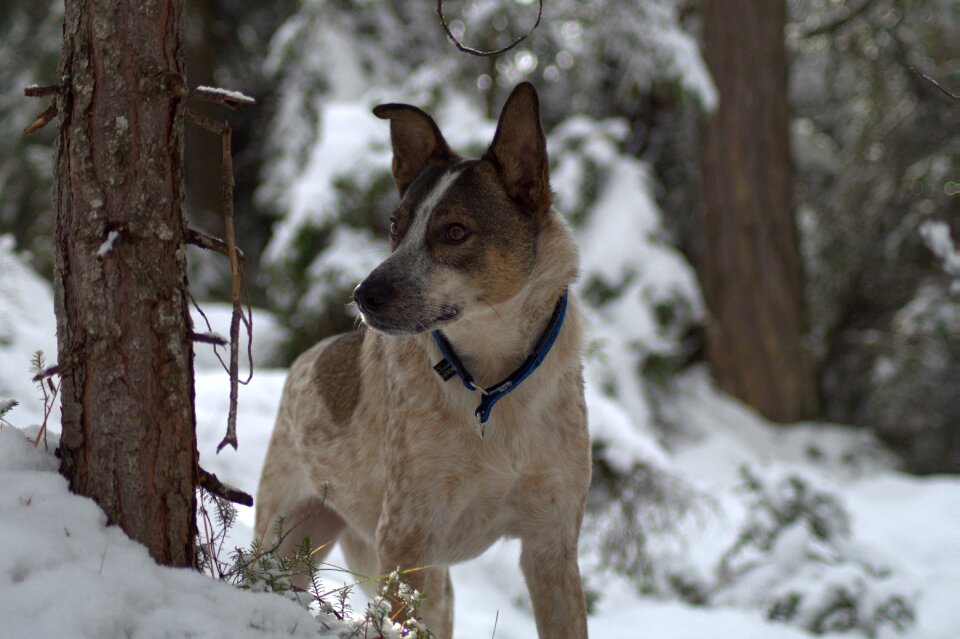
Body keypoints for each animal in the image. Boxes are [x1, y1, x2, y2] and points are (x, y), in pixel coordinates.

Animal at [253, 85, 592, 639]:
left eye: (455, 232)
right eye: (396, 226)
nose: (363, 295)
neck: (494, 388)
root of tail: (306, 359)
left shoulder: (552, 542)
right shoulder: (407, 537)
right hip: (288, 537)